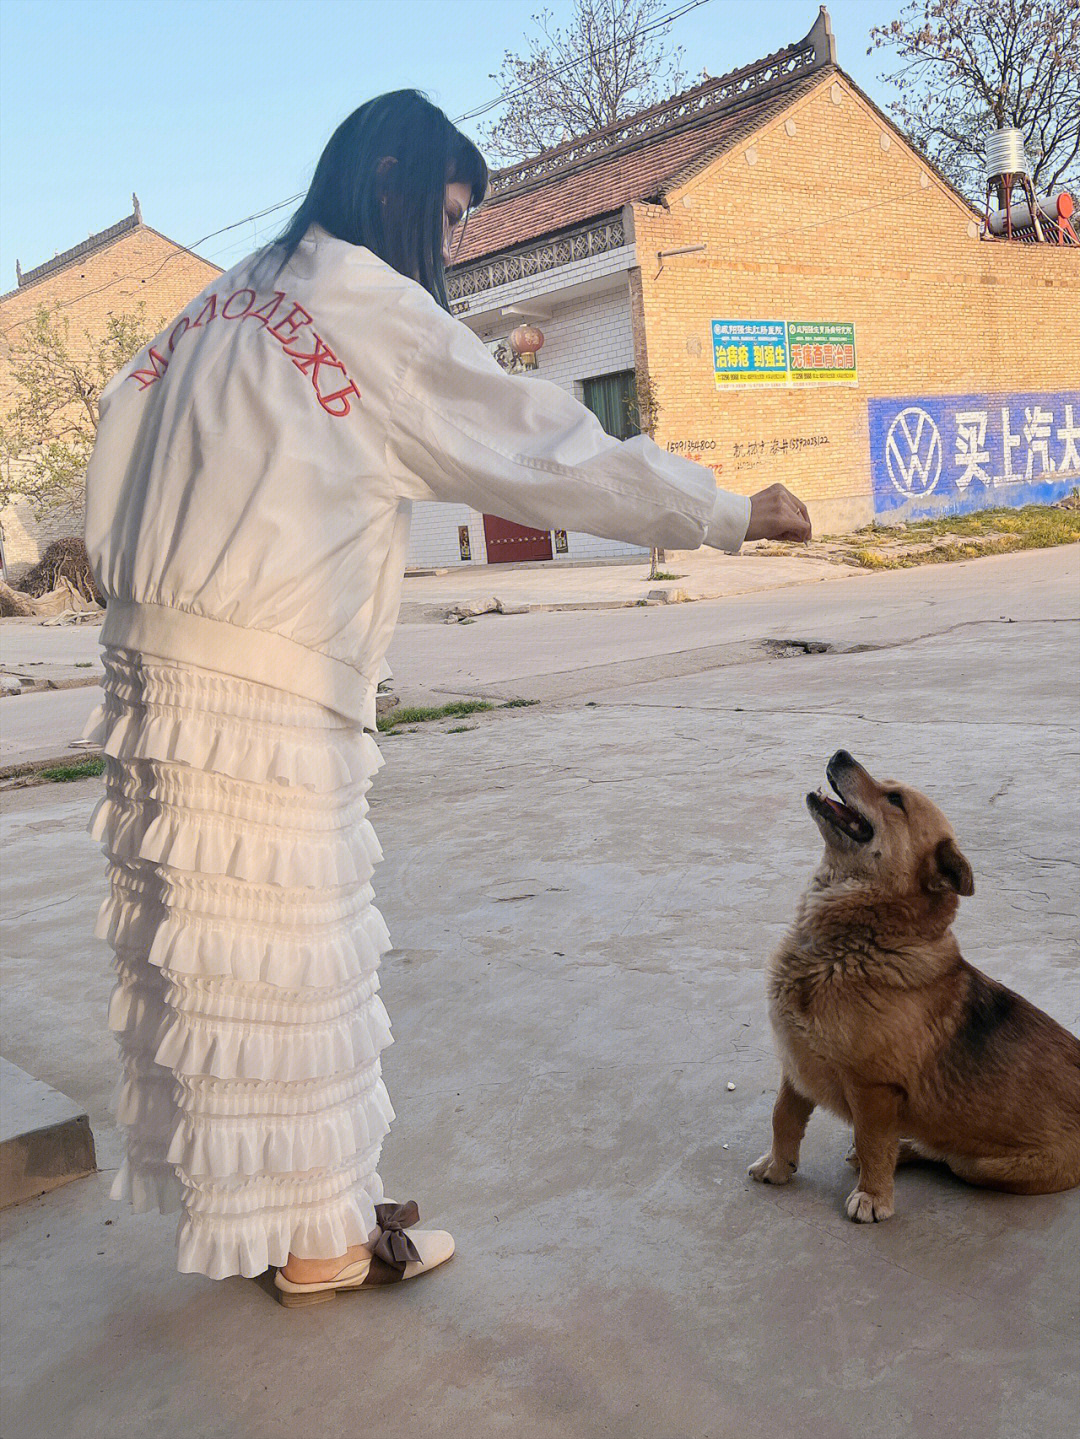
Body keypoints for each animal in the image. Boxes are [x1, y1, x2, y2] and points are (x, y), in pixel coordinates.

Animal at [753, 748, 1080, 1220]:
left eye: (895, 800)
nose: (840, 753)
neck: (850, 945)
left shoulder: (873, 1088)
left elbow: (872, 1143)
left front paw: (873, 1196)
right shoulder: (796, 1064)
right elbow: (783, 1118)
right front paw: (778, 1167)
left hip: (981, 1166)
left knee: (946, 1155)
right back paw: (906, 1147)